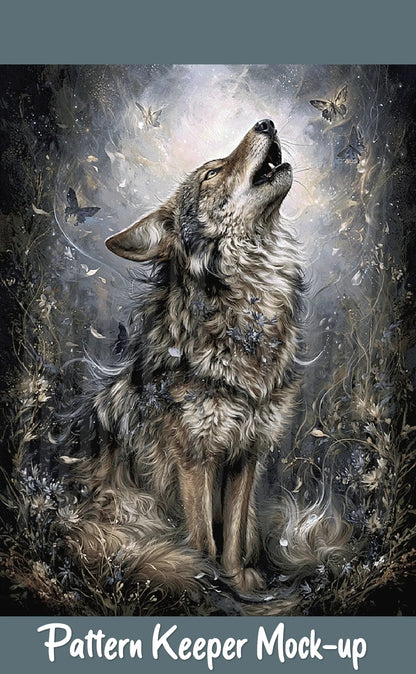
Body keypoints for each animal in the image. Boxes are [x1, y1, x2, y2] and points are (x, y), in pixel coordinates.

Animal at [60, 119, 305, 600]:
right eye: (211, 174)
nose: (266, 122)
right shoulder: (195, 457)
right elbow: (202, 537)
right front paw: (210, 585)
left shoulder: (245, 453)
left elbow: (231, 535)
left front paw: (238, 580)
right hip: (129, 508)